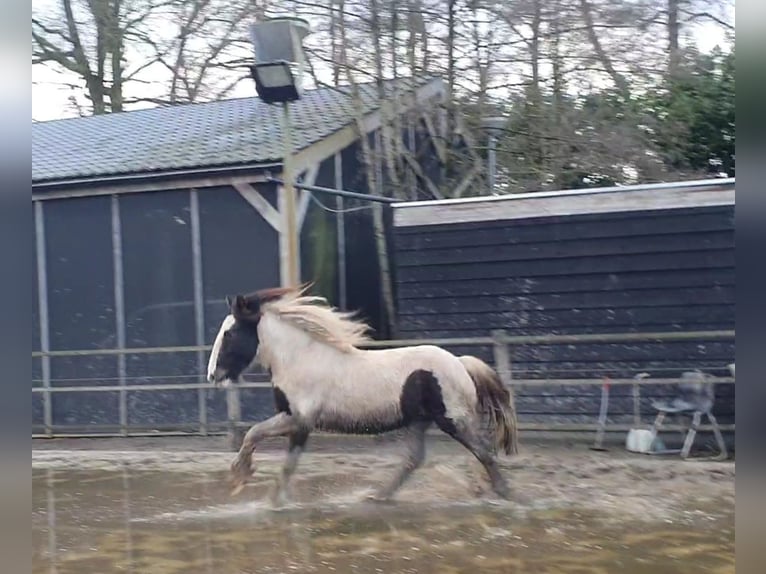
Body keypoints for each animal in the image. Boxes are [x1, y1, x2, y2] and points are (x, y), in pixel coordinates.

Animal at [207, 286, 520, 506]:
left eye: (230, 334)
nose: (212, 375)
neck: (301, 359)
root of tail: (460, 363)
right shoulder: (295, 420)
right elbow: (275, 451)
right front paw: (261, 491)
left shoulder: (301, 420)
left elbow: (261, 438)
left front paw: (244, 479)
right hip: (420, 420)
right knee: (414, 459)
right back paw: (378, 496)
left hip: (454, 420)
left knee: (483, 451)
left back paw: (507, 494)